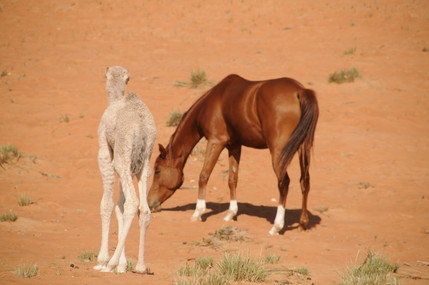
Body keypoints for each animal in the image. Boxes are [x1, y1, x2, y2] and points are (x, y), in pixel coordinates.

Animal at [147, 74, 318, 234]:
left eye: (157, 171)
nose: (149, 203)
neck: (212, 102)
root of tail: (300, 91)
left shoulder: (216, 141)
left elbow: (203, 176)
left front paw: (197, 213)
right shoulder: (234, 146)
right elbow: (232, 179)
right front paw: (231, 213)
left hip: (278, 152)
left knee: (284, 183)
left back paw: (276, 227)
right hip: (302, 147)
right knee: (305, 180)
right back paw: (302, 223)